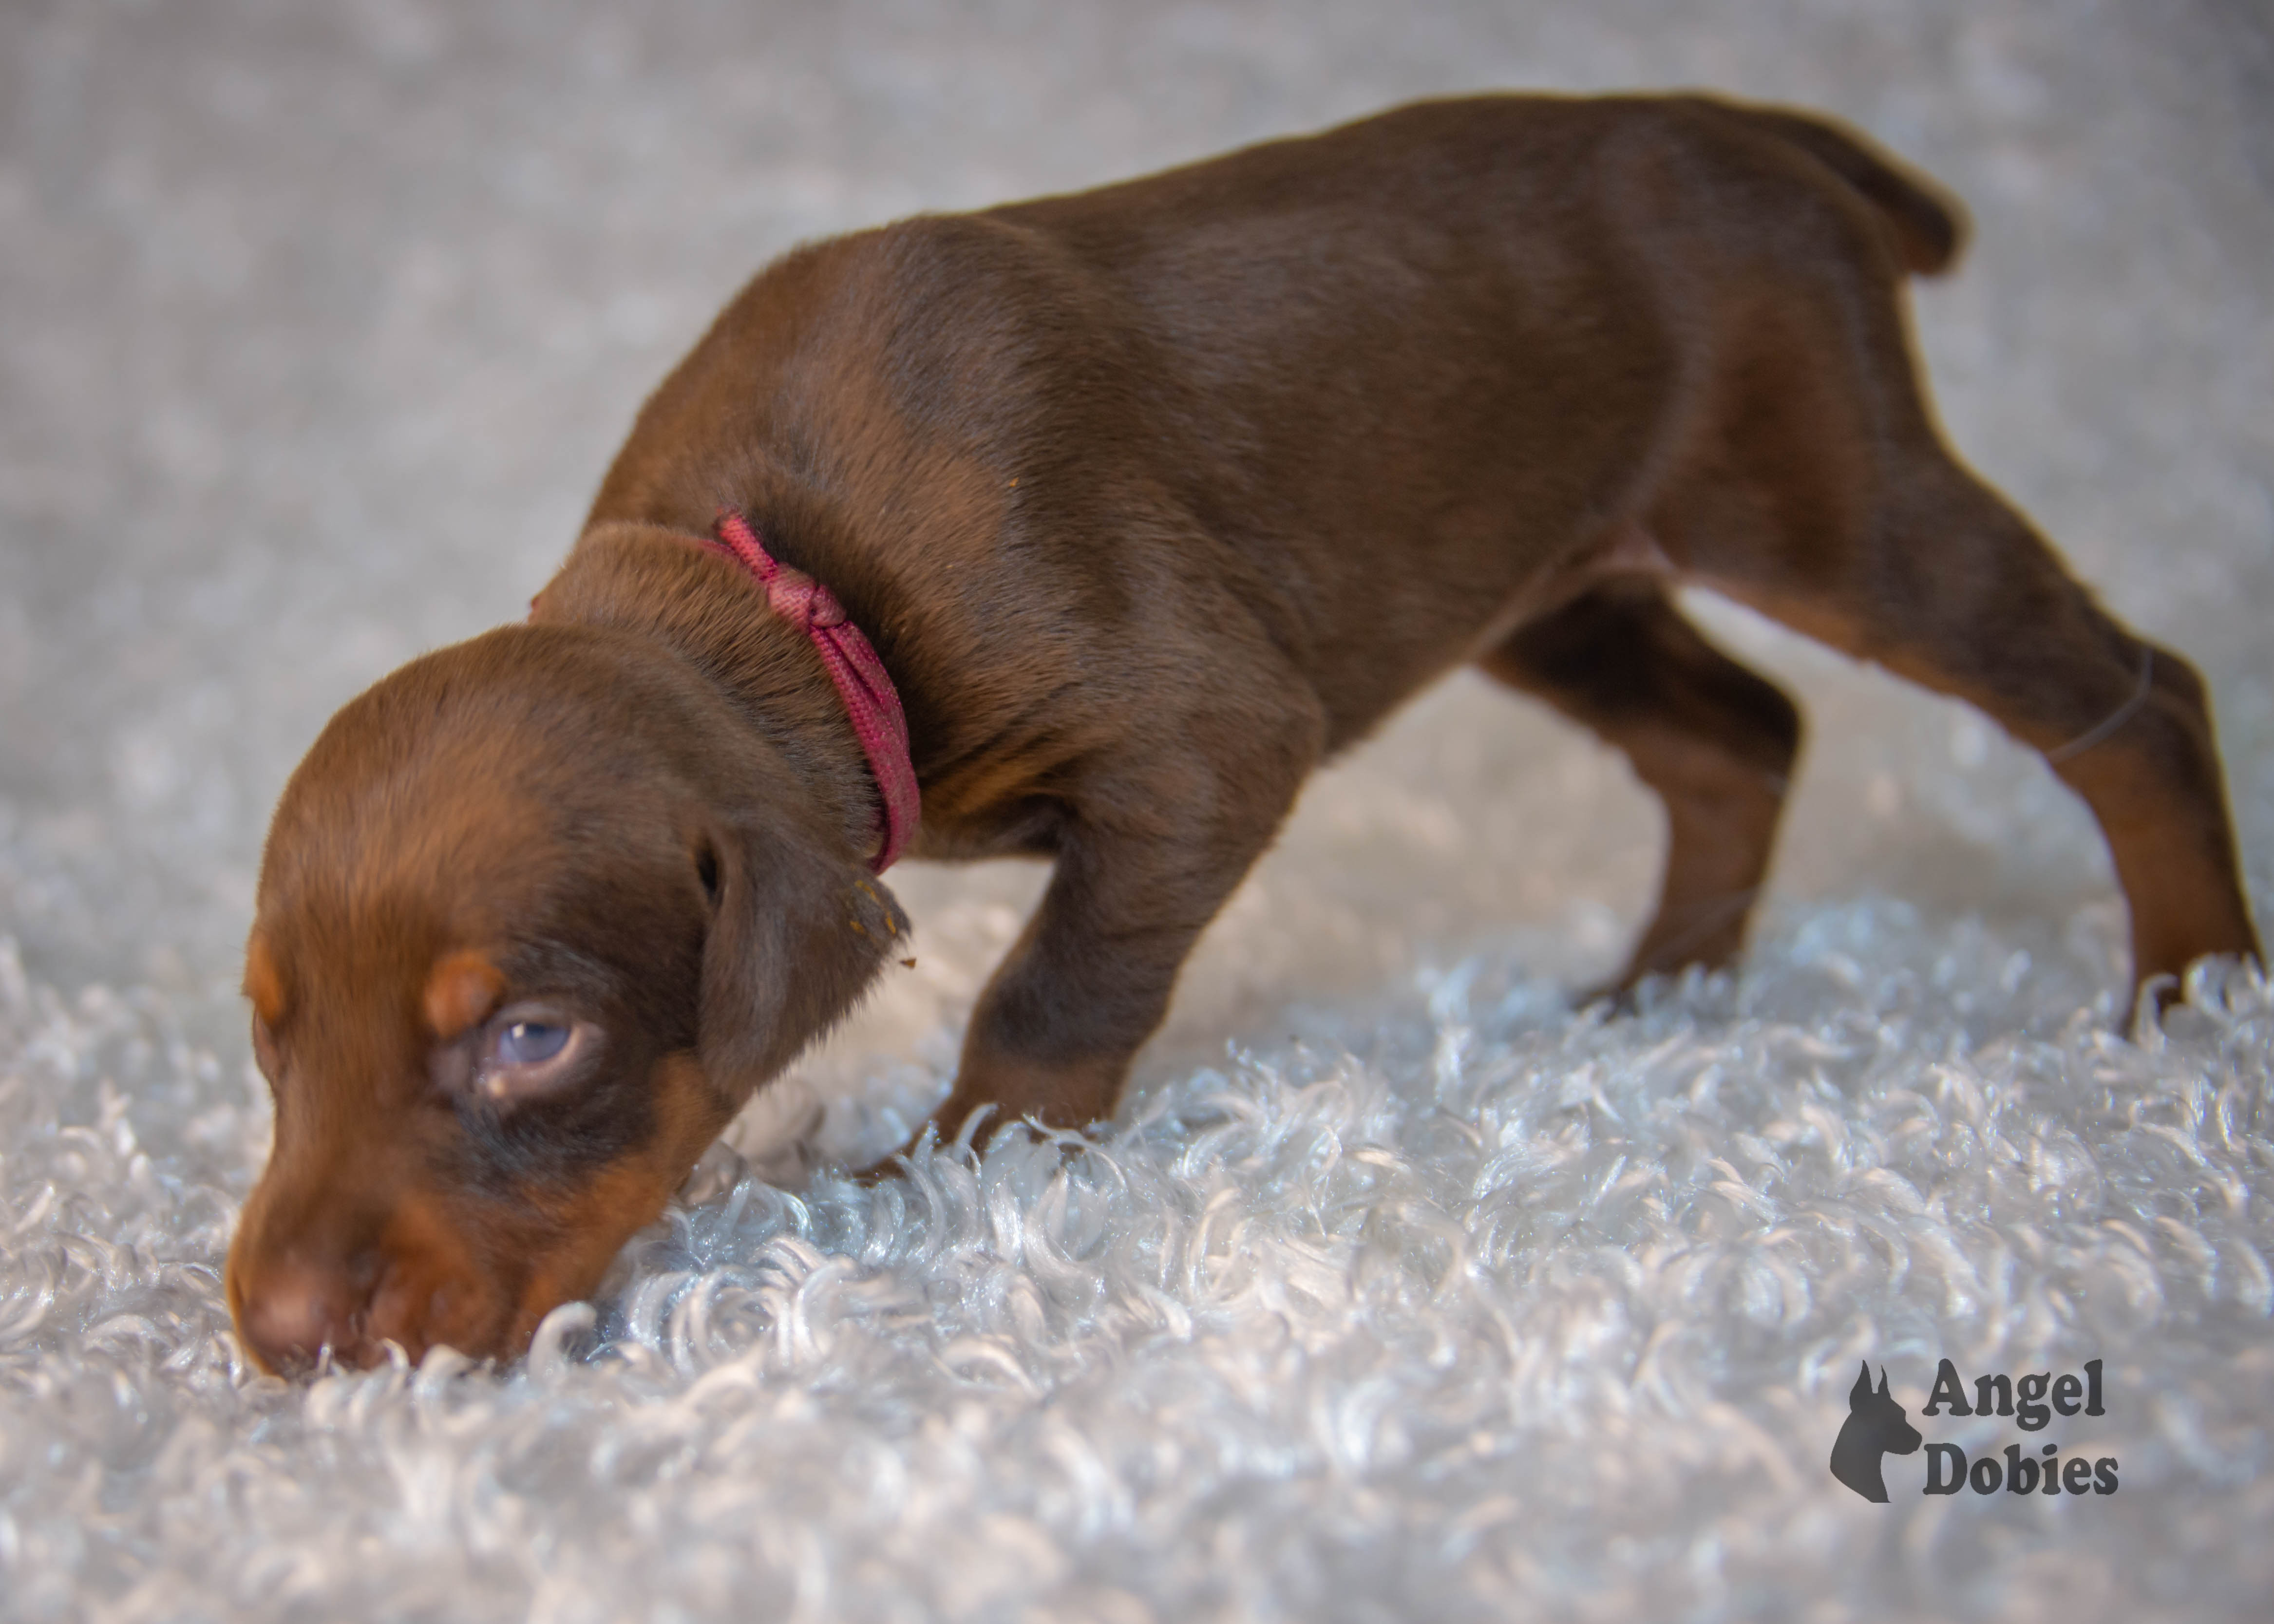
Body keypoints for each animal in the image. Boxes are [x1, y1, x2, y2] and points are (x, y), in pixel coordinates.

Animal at [226, 94, 2255, 1374]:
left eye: (532, 1039)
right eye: (268, 1031)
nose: (280, 1340)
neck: (793, 587)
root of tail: (1772, 137)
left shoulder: (1201, 737)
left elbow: (1051, 989)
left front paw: (963, 1173)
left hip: (1826, 500)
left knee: (2128, 694)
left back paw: (2190, 987)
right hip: (1555, 576)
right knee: (1737, 734)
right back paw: (1658, 994)